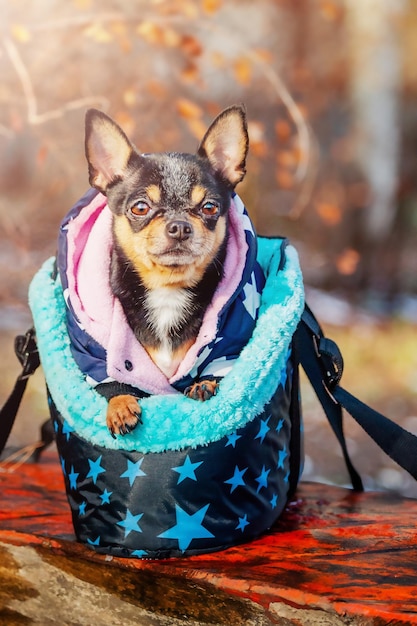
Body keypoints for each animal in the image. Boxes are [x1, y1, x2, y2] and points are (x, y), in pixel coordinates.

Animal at [83, 103, 249, 434]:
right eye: (140, 207)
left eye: (209, 207)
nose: (180, 226)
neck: (167, 290)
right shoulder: (94, 356)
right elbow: (112, 380)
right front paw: (120, 404)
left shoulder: (231, 340)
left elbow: (219, 363)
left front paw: (204, 383)